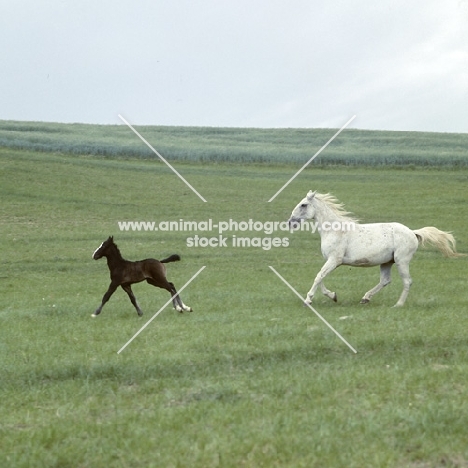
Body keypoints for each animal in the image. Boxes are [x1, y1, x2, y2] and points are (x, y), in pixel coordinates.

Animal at [288, 190, 462, 308]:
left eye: (303, 204)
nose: (291, 222)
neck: (334, 230)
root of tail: (413, 232)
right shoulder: (332, 261)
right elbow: (321, 278)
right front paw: (333, 296)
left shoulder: (334, 260)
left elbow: (318, 277)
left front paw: (308, 300)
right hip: (387, 262)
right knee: (385, 281)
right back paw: (365, 298)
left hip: (401, 261)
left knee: (407, 281)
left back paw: (398, 305)